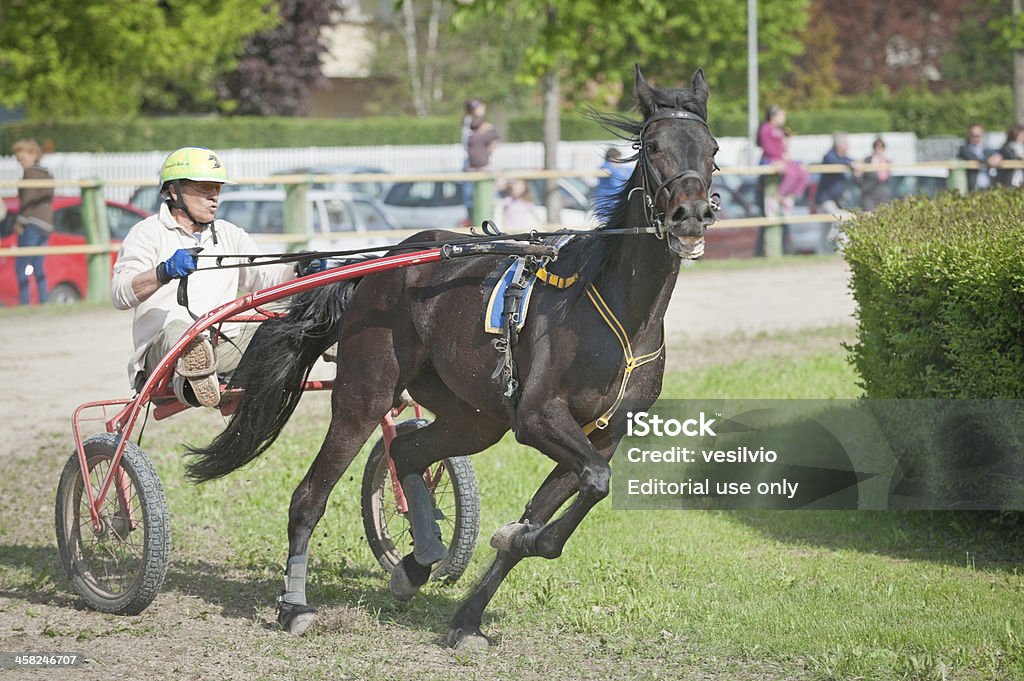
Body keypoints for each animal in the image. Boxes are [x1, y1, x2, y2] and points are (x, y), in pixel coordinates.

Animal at [184, 65, 720, 647]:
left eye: (712, 149)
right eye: (653, 146)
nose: (690, 214)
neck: (617, 308)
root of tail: (386, 261)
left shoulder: (602, 434)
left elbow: (568, 502)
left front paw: (474, 607)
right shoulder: (538, 417)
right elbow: (590, 484)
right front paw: (516, 539)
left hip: (475, 418)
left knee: (407, 452)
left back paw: (417, 562)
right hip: (366, 393)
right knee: (310, 496)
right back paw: (294, 606)